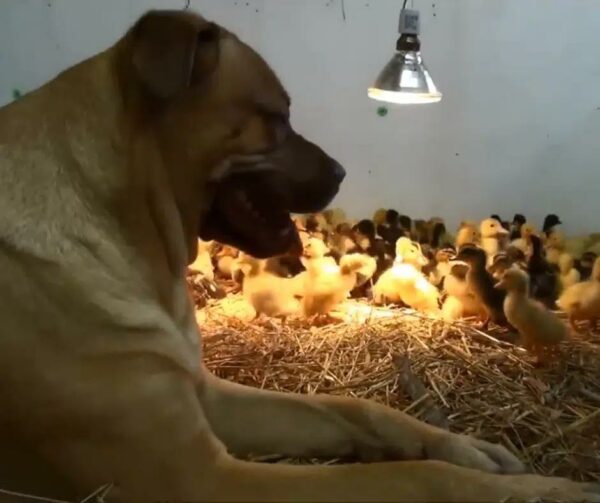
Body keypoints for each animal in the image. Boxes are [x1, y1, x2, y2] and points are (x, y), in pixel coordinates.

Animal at [1, 8, 600, 503]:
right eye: (275, 116)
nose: (341, 173)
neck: (126, 233)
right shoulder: (202, 478)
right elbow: (417, 478)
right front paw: (541, 492)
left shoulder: (210, 396)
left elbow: (359, 409)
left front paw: (467, 449)